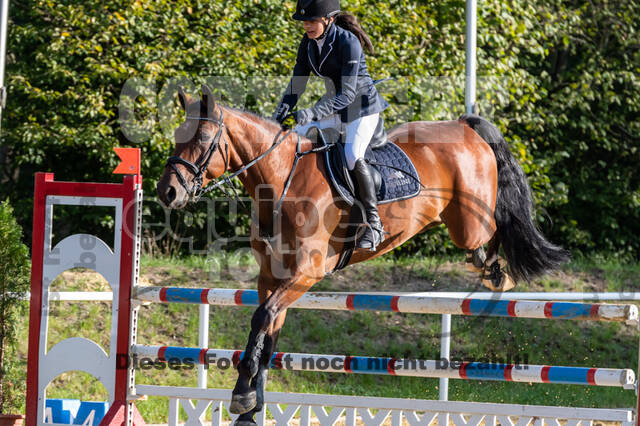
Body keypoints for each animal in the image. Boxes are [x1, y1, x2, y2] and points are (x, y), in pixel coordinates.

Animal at [156, 85, 568, 424]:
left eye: (202, 138)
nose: (167, 192)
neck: (280, 180)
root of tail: (462, 125)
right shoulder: (272, 277)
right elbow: (267, 331)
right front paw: (249, 407)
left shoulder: (307, 273)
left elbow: (262, 318)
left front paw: (242, 398)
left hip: (468, 224)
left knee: (499, 226)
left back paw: (499, 273)